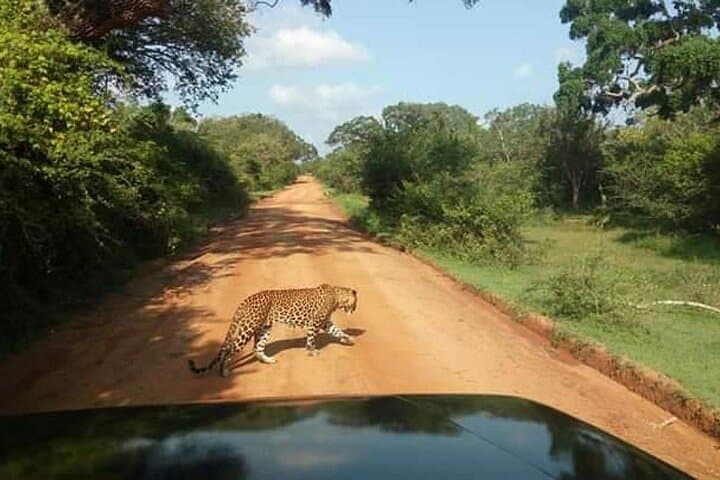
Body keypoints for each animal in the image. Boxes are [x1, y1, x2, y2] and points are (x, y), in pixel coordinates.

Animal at [188, 283, 358, 377]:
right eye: (356, 303)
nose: (355, 310)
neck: (337, 297)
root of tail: (245, 301)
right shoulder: (316, 322)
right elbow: (311, 338)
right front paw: (311, 351)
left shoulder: (325, 323)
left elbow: (337, 330)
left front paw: (348, 339)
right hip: (247, 329)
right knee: (229, 350)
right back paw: (223, 372)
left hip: (264, 328)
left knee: (257, 348)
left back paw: (268, 360)